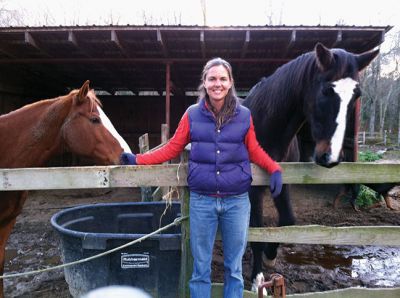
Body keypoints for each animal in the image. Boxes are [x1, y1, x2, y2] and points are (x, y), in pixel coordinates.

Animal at [242, 42, 380, 288]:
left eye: (357, 95)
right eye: (326, 91)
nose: (331, 156)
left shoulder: (283, 182)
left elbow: (288, 221)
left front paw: (270, 256)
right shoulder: (253, 189)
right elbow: (256, 230)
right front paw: (257, 278)